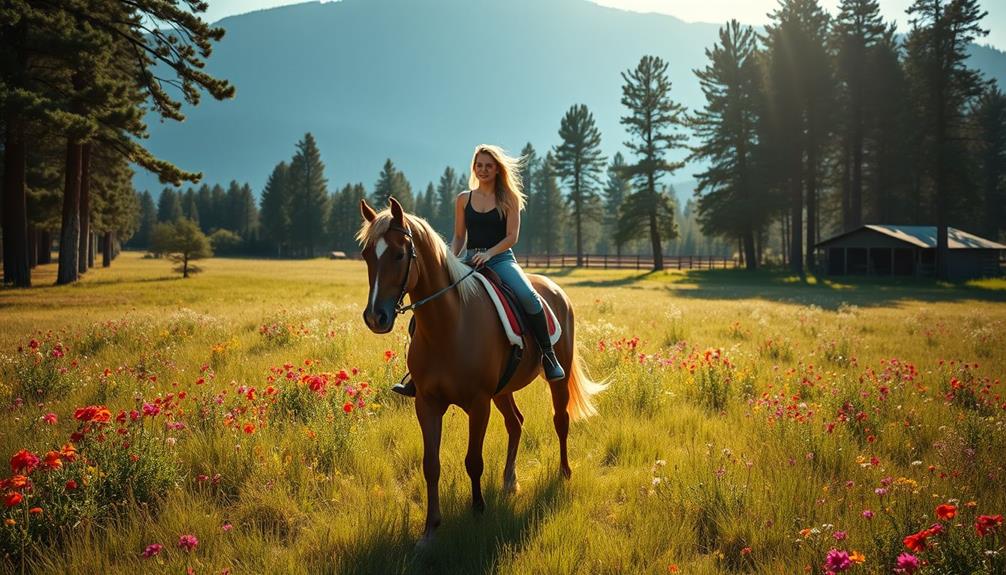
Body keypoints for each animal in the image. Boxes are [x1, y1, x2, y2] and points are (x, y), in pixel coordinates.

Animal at [356, 197, 603, 542]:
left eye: (399, 254)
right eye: (367, 254)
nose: (375, 317)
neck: (449, 326)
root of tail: (554, 288)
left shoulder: (478, 402)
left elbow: (473, 460)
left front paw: (477, 511)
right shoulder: (427, 403)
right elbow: (430, 464)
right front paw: (430, 530)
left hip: (558, 377)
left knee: (560, 420)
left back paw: (564, 472)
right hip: (503, 390)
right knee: (516, 423)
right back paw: (510, 480)